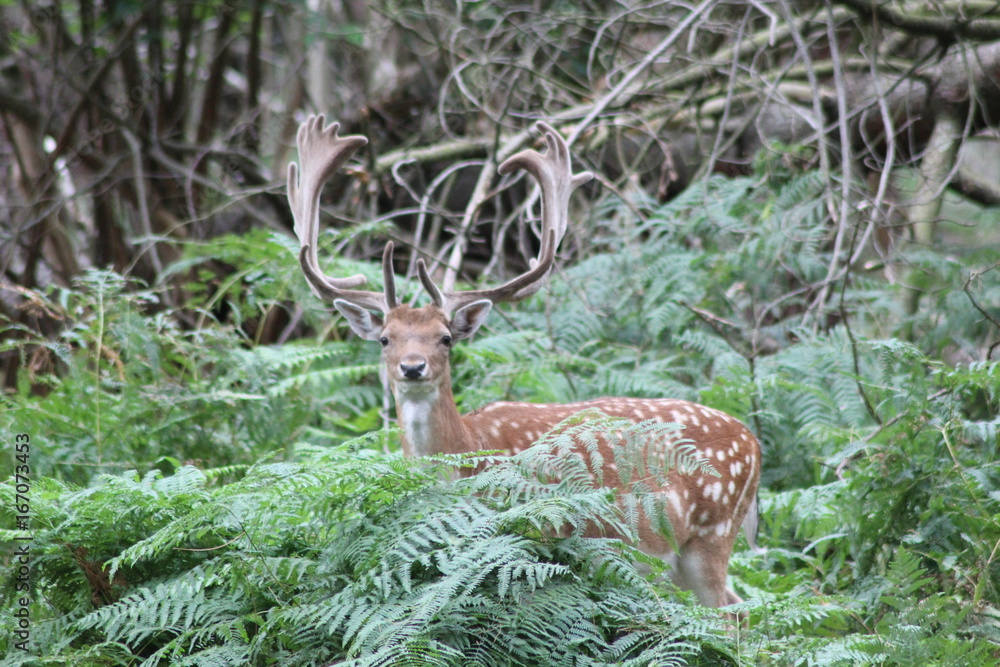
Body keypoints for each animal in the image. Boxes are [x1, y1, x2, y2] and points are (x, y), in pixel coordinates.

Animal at [286, 114, 762, 609]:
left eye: (446, 338)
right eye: (384, 339)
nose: (413, 367)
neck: (469, 455)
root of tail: (753, 443)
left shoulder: (543, 531)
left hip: (711, 530)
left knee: (735, 612)